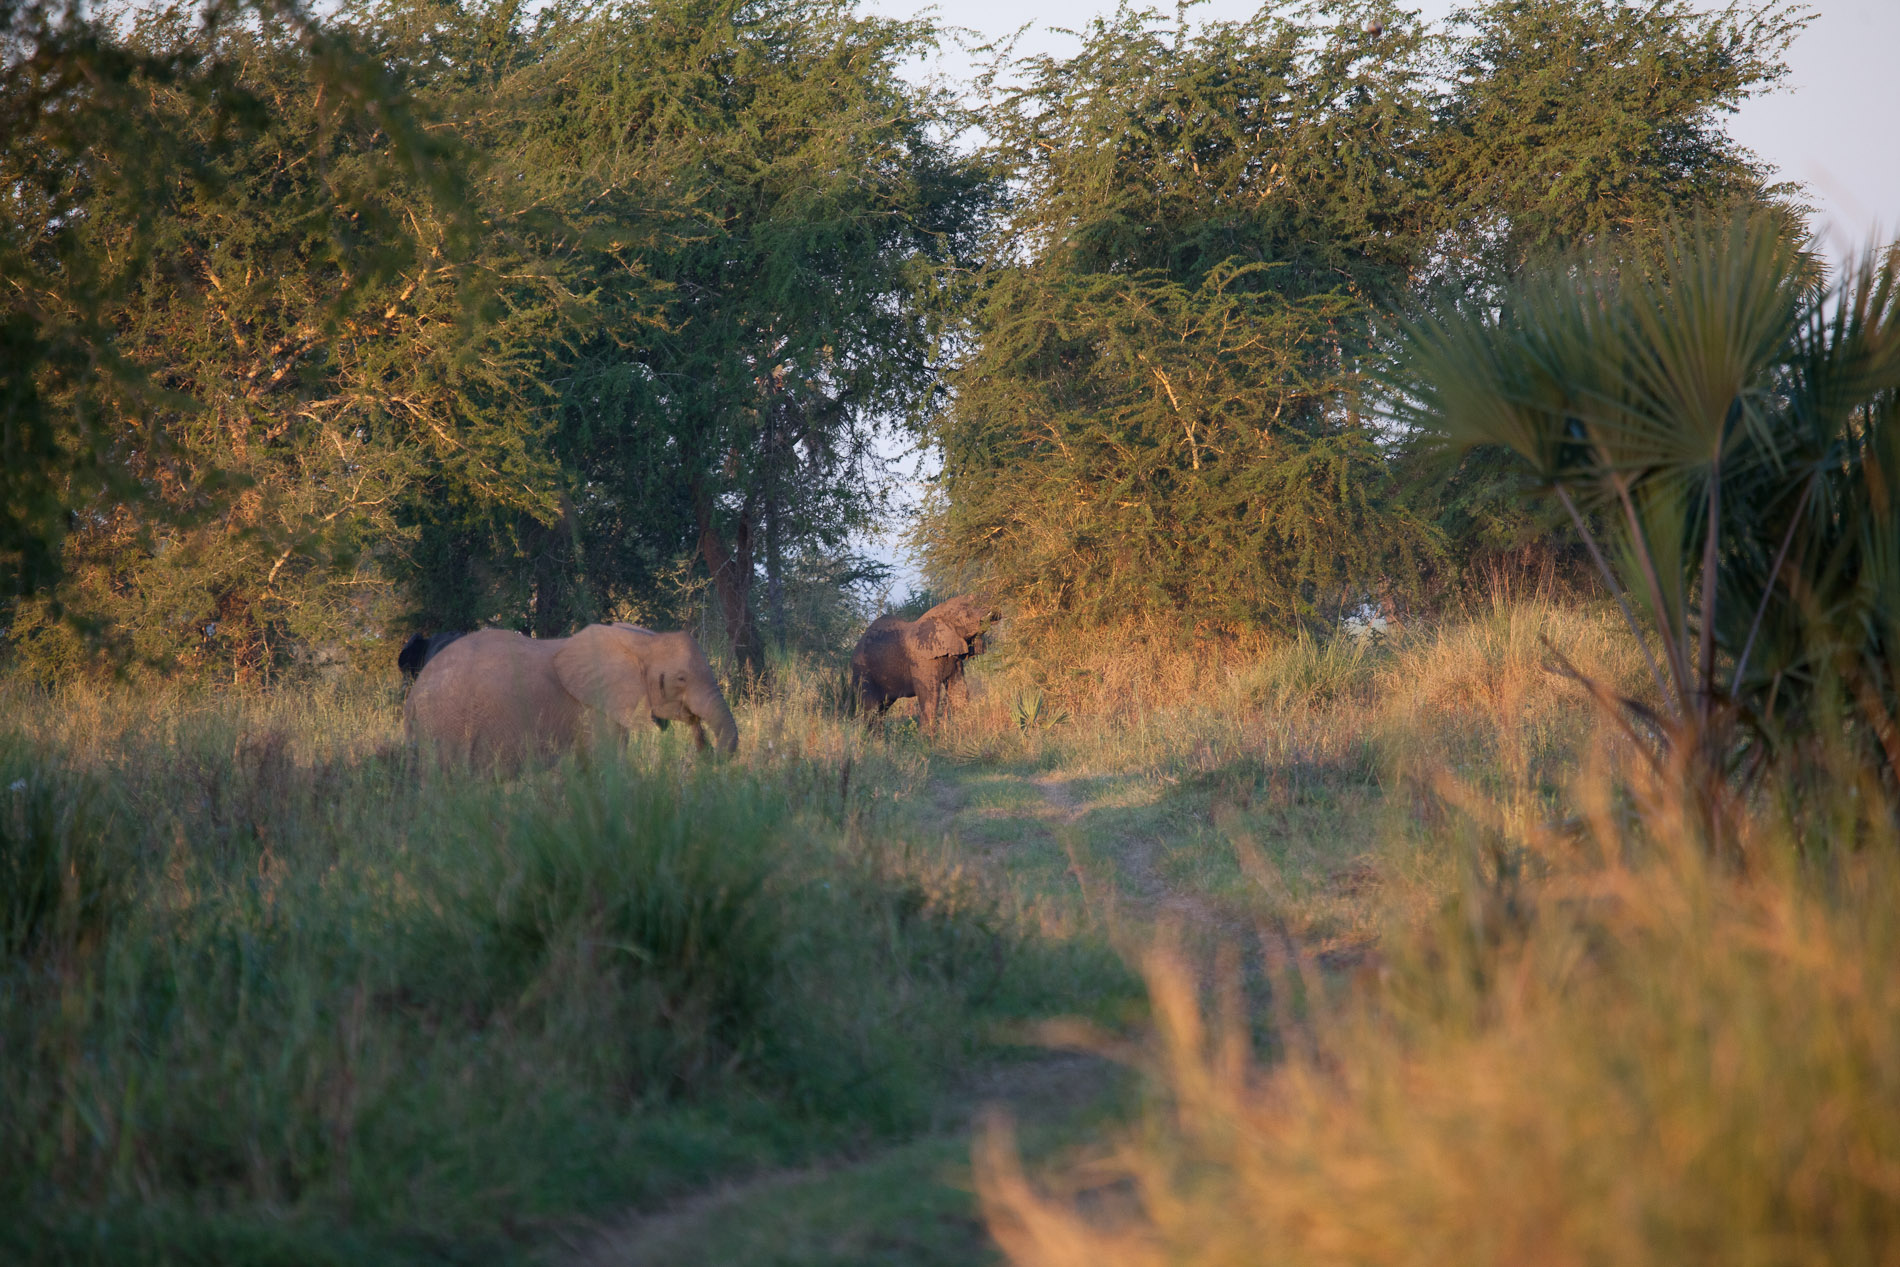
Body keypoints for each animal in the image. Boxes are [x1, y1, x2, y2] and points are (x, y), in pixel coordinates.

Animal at [404, 623, 737, 767]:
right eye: (681, 679)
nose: (704, 748)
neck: (644, 640)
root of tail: (414, 693)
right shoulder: (593, 705)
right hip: (444, 722)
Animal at [851, 596, 1003, 729]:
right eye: (966, 610)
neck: (941, 614)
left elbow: (959, 690)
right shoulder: (922, 659)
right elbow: (930, 694)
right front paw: (926, 739)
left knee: (882, 708)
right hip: (863, 671)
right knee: (872, 709)